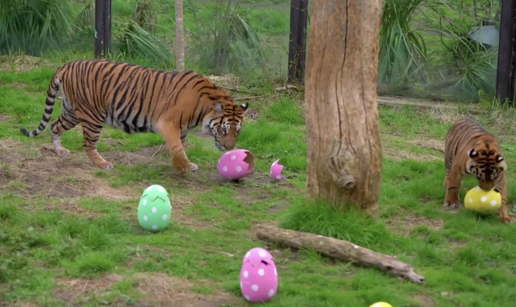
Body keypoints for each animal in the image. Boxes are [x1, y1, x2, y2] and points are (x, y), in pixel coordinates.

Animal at [18, 59, 248, 174]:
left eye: (237, 132)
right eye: (223, 129)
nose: (229, 148)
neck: (203, 108)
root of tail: (66, 65)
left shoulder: (181, 128)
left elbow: (180, 145)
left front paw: (178, 163)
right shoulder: (167, 123)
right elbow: (177, 146)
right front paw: (184, 166)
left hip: (72, 111)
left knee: (54, 125)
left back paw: (60, 151)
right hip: (93, 115)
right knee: (88, 144)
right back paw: (102, 164)